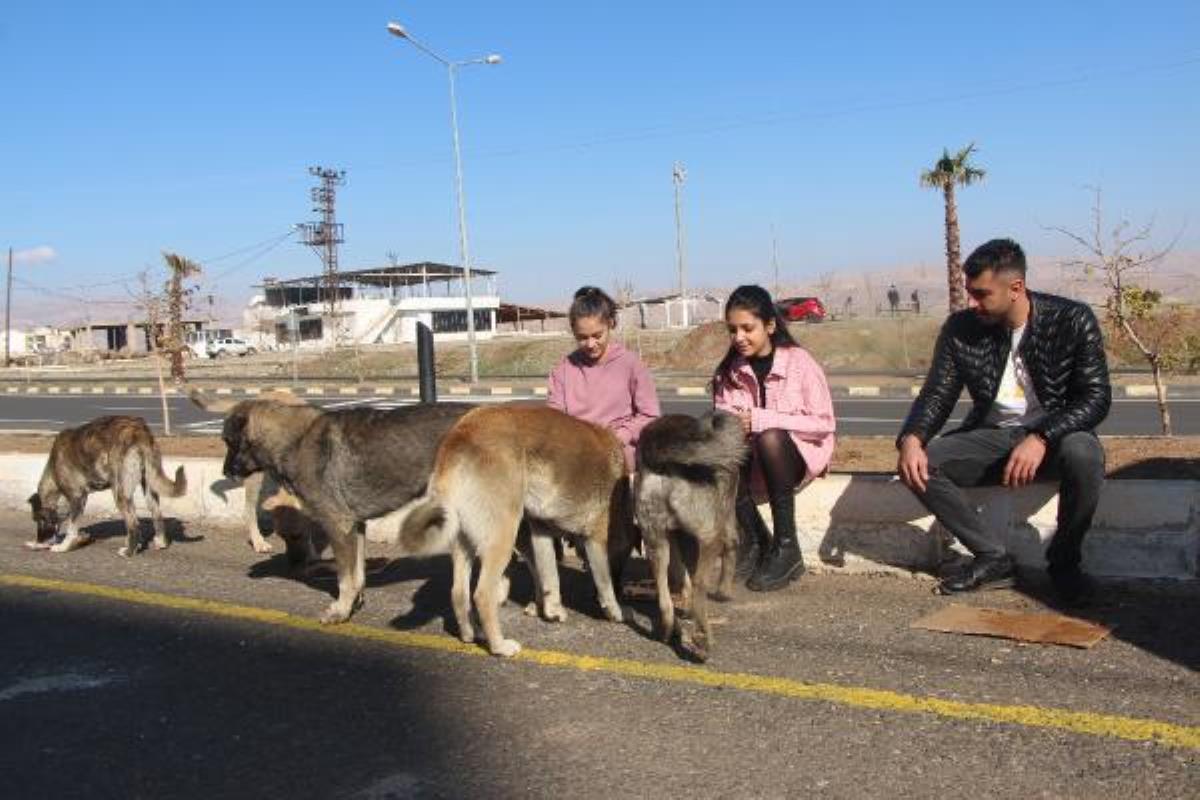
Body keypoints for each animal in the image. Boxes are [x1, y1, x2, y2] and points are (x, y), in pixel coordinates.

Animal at [396, 407, 638, 657]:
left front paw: (552, 610)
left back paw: (470, 634)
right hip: (503, 535)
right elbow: (604, 583)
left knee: (459, 593)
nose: (624, 588)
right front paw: (616, 612)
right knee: (482, 594)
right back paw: (499, 646)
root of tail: (457, 436)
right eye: (624, 557)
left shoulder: (541, 532)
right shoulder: (595, 539)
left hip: (464, 543)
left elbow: (550, 576)